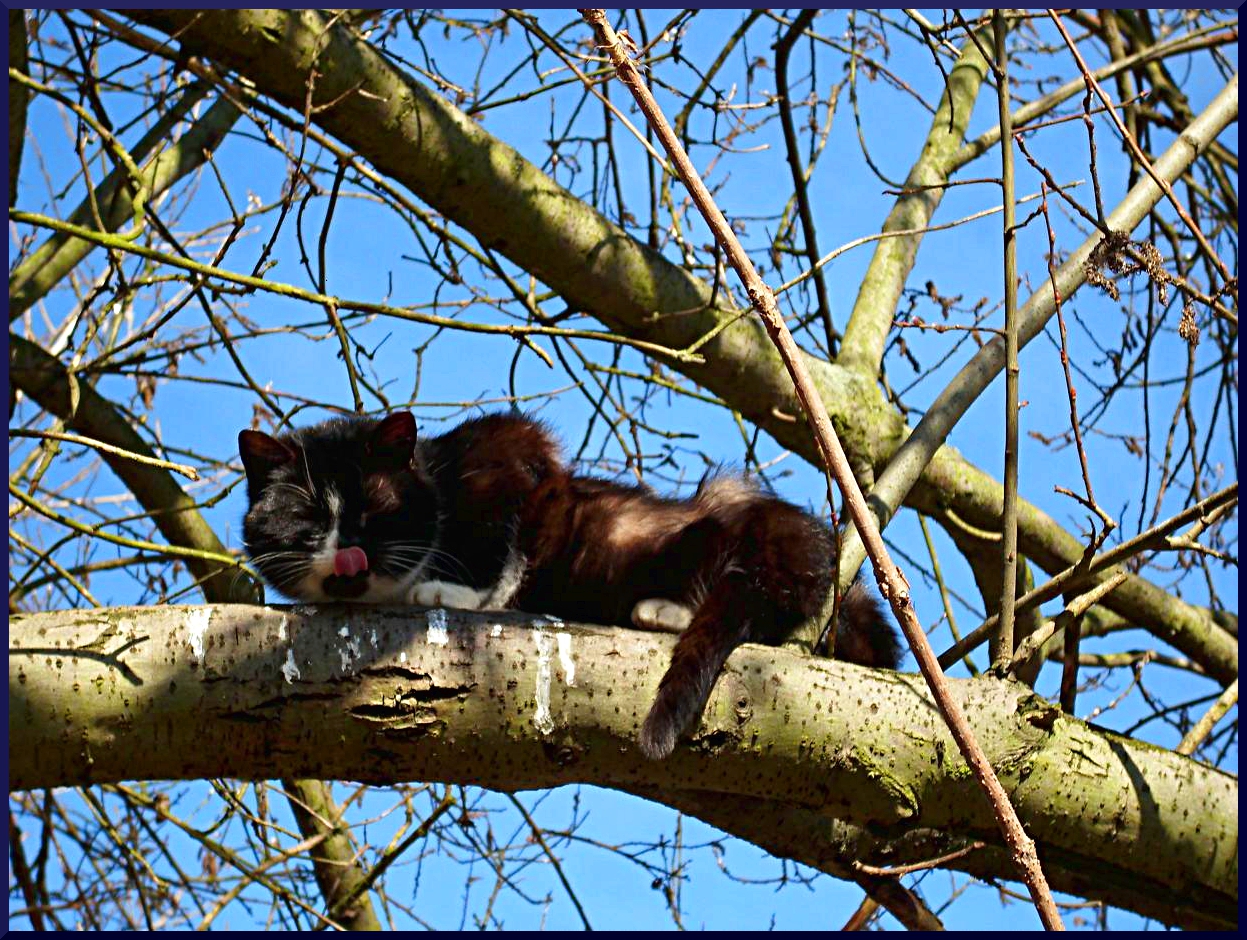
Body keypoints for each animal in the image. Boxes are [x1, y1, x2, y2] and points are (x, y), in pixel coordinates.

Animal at [238, 408, 902, 752]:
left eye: (374, 511)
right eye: (307, 519)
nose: (349, 552)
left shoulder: (515, 451)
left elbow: (508, 546)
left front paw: (460, 591)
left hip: (739, 512)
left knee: (763, 602)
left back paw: (666, 609)